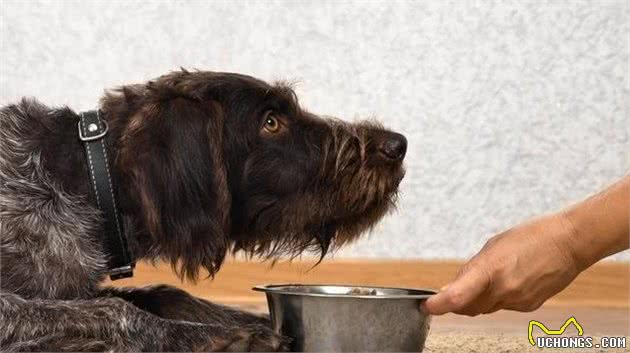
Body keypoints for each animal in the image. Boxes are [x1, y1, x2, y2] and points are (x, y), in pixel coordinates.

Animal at [0, 69, 408, 350]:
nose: (397, 145)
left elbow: (166, 293)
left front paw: (253, 319)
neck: (86, 178)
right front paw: (226, 338)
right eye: (271, 122)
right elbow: (116, 310)